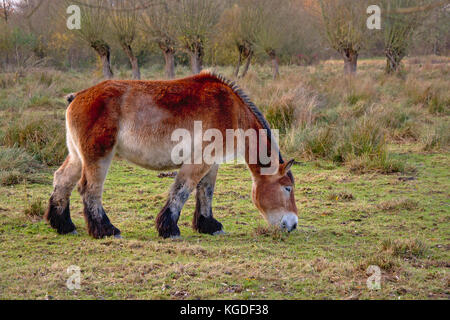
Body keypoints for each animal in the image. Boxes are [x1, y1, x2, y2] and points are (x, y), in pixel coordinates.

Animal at [44, 71, 298, 239]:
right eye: (287, 188)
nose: (293, 224)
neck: (233, 110)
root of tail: (78, 96)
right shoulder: (198, 161)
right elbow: (182, 190)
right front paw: (169, 228)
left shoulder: (212, 163)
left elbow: (205, 192)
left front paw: (208, 225)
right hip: (98, 158)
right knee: (90, 190)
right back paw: (105, 230)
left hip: (78, 157)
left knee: (62, 181)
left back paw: (63, 225)